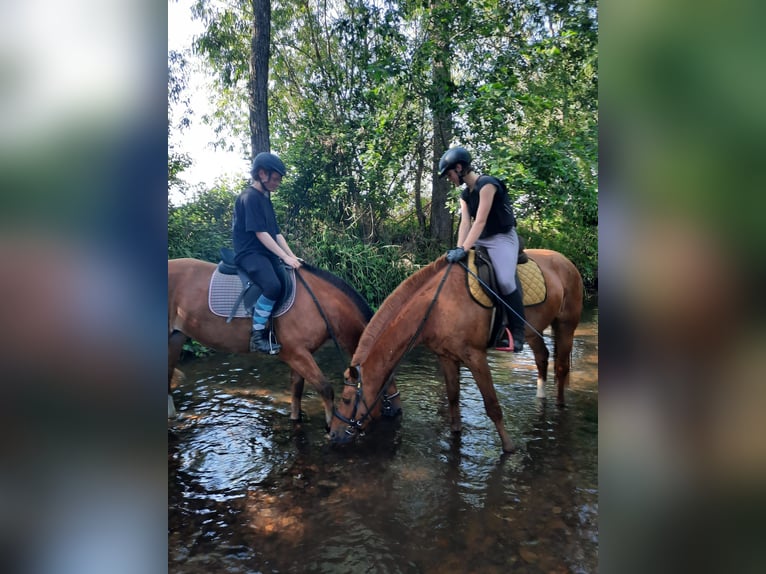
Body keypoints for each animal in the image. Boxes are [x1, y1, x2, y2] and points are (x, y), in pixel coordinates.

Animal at [170, 258, 402, 430]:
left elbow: (296, 391)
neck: (319, 304)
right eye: (386, 376)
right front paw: (329, 426)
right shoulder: (297, 354)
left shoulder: (298, 356)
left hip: (176, 338)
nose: (398, 410)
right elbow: (325, 388)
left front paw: (296, 420)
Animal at [328, 249, 584, 454]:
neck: (436, 306)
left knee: (561, 367)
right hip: (533, 331)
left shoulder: (476, 357)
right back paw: (541, 396)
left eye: (346, 399)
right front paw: (455, 434)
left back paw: (560, 405)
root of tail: (565, 260)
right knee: (542, 357)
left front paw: (509, 447)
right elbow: (452, 398)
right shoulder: (446, 357)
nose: (333, 434)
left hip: (566, 325)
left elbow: (492, 405)